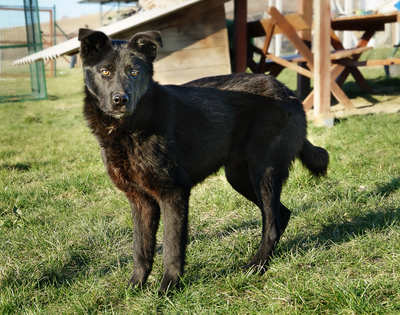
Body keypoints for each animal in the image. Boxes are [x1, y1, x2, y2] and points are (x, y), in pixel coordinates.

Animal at [77, 29, 328, 294]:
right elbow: (140, 250)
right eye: (105, 72)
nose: (120, 100)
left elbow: (171, 247)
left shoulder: (174, 193)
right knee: (282, 214)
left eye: (134, 72)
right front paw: (135, 287)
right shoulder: (140, 201)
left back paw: (258, 265)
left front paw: (168, 288)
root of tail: (287, 91)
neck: (128, 129)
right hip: (240, 178)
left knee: (271, 225)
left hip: (263, 173)